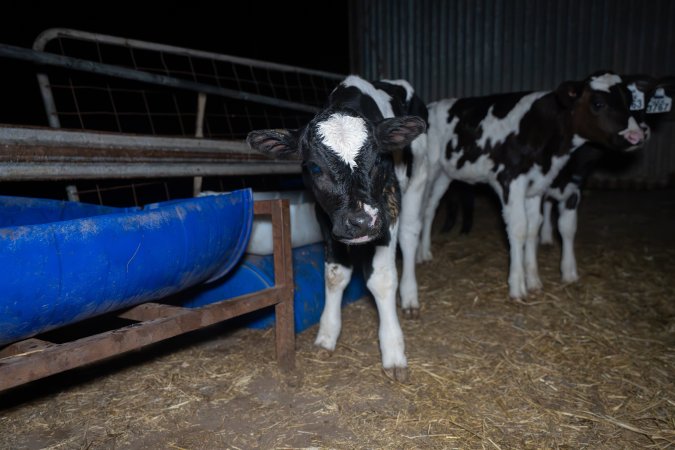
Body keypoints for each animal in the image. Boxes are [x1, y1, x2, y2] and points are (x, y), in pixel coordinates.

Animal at [247, 75, 428, 382]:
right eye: (315, 168)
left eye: (379, 160)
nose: (361, 221)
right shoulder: (323, 215)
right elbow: (334, 275)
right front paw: (327, 336)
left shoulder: (387, 208)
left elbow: (382, 278)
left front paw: (393, 352)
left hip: (419, 181)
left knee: (410, 235)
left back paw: (410, 298)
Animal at [418, 71, 652, 300]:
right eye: (598, 103)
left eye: (629, 100)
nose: (637, 136)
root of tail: (431, 106)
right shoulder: (509, 180)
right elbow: (518, 228)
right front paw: (516, 286)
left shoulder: (537, 186)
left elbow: (533, 228)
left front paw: (533, 281)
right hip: (429, 170)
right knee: (424, 208)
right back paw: (421, 254)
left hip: (445, 174)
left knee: (430, 209)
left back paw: (425, 251)